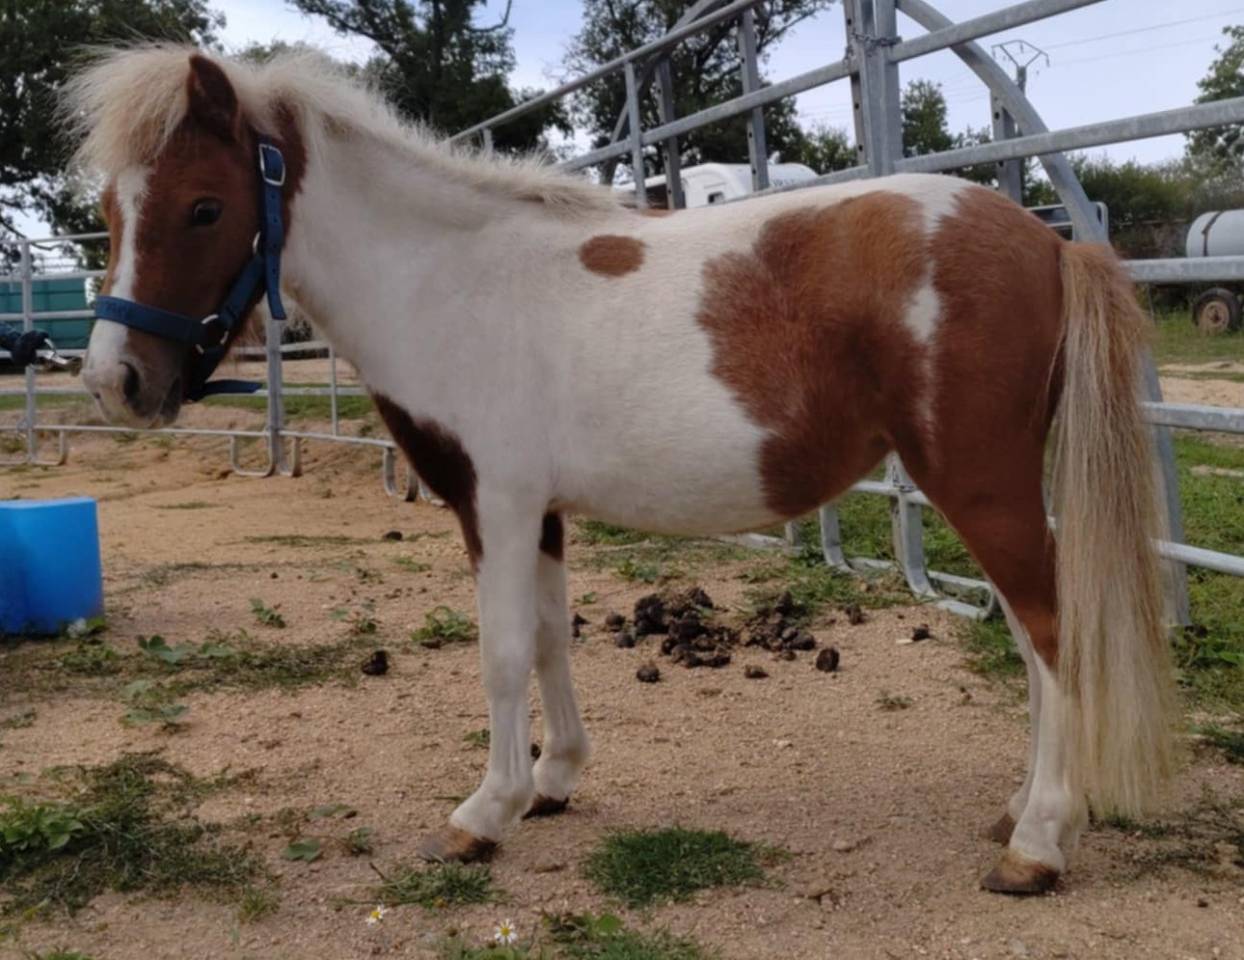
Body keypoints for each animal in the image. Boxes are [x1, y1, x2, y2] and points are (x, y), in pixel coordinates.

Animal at [66, 46, 1176, 895]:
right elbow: (554, 638)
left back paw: (1037, 846)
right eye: (111, 212)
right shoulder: (541, 513)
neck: (451, 284)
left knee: (1048, 633)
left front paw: (483, 813)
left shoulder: (496, 503)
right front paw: (553, 781)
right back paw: (1022, 812)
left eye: (204, 208)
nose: (117, 382)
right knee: (1034, 639)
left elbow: (502, 651)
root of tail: (1045, 244)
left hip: (977, 483)